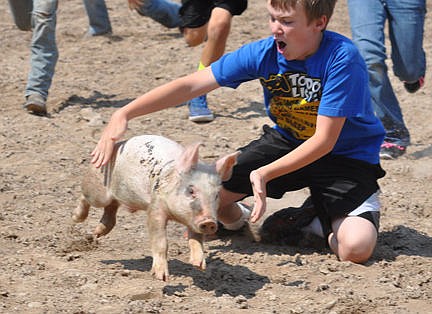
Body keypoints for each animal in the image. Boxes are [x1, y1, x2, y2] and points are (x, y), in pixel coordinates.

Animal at [72, 134, 238, 280]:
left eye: (216, 194)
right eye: (191, 191)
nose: (209, 222)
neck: (176, 217)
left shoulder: (193, 220)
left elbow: (196, 239)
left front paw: (199, 265)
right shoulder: (155, 207)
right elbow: (161, 241)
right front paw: (162, 277)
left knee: (112, 207)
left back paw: (97, 233)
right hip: (97, 191)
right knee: (86, 196)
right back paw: (76, 218)